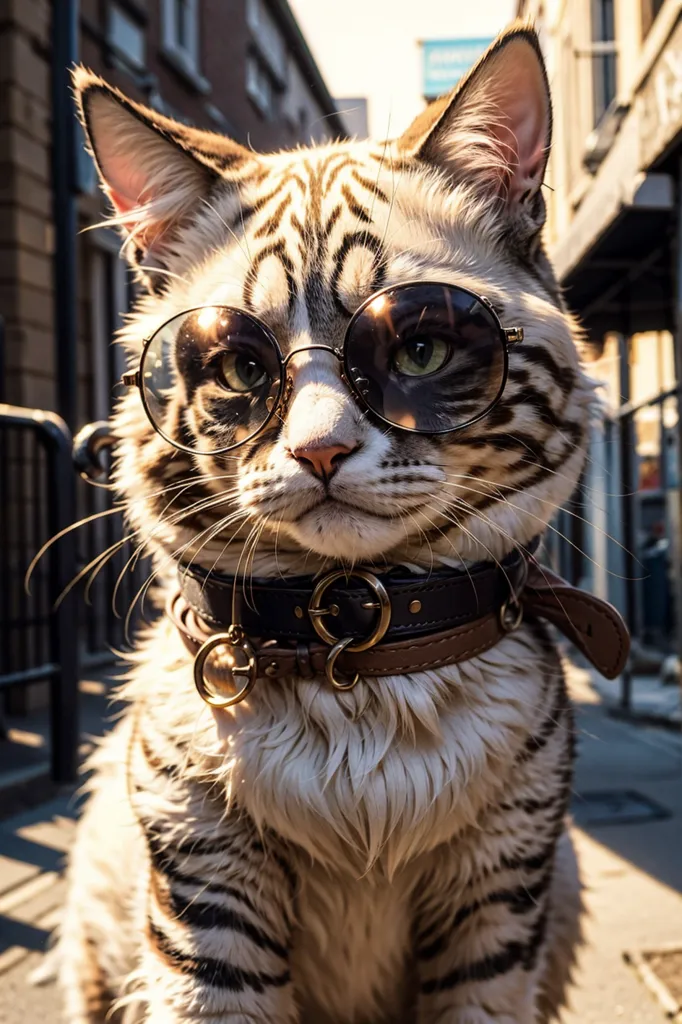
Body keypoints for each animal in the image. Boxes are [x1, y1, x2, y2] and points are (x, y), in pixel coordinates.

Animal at [57, 24, 589, 1024]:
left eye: (418, 348)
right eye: (238, 367)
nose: (320, 448)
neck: (356, 655)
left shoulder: (499, 900)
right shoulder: (206, 908)